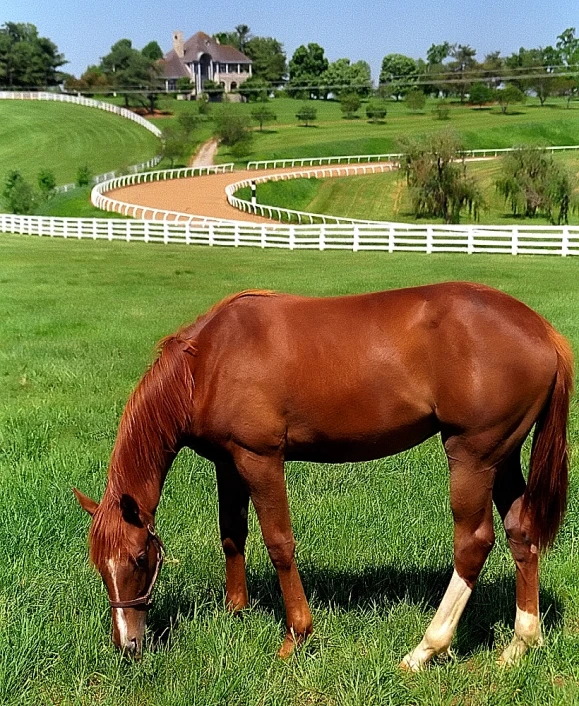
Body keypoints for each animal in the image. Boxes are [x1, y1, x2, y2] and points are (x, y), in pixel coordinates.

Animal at [75, 280, 572, 664]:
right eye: (99, 565)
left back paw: (425, 650)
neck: (208, 362)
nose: (127, 645)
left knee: (473, 544)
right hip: (503, 456)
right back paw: (520, 645)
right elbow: (232, 534)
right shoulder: (228, 462)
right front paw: (236, 612)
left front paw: (296, 635)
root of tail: (544, 332)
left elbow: (279, 543)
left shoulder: (260, 458)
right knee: (521, 532)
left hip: (472, 456)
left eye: (140, 558)